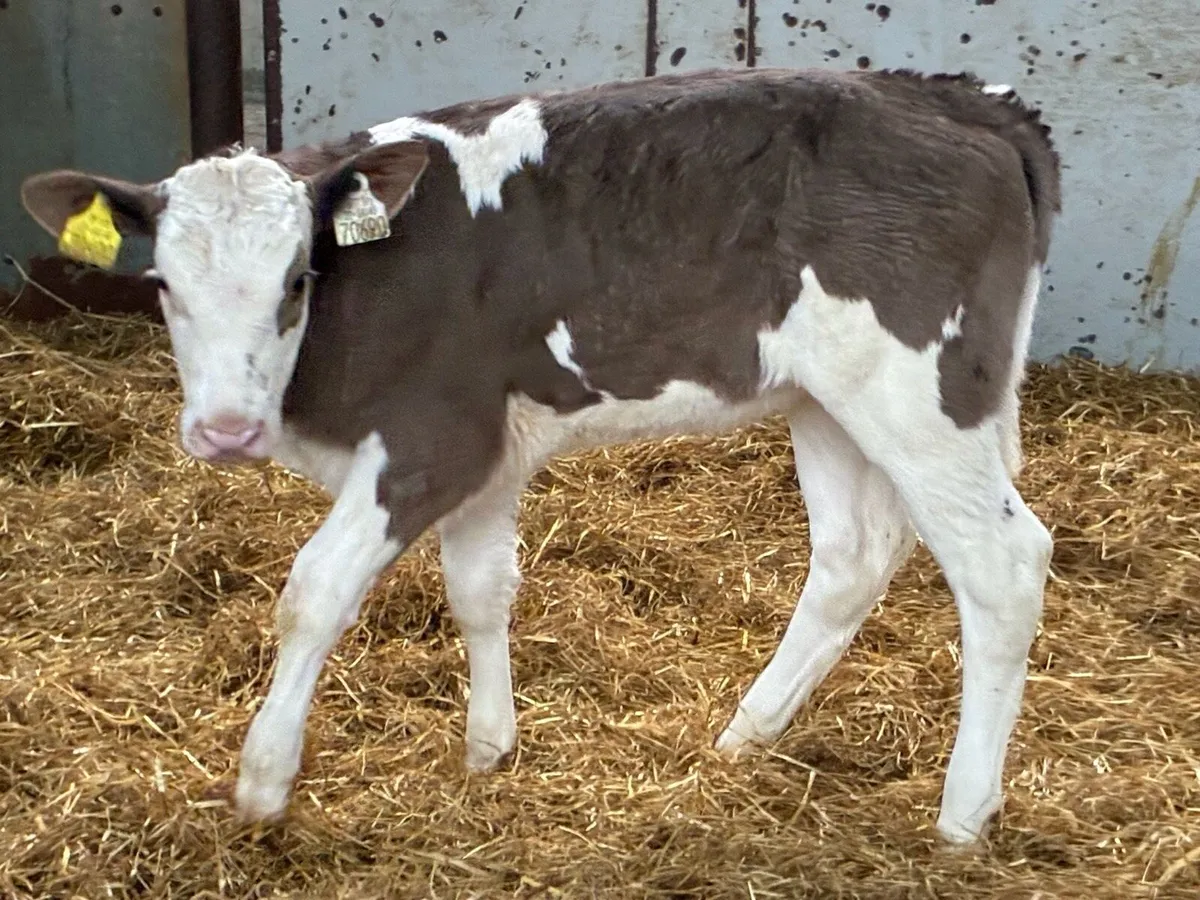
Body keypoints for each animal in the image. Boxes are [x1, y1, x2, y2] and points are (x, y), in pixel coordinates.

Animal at [20, 66, 1061, 845]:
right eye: (162, 283)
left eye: (298, 278)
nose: (227, 431)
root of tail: (962, 99)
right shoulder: (489, 450)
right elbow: (481, 591)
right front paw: (490, 750)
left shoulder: (434, 440)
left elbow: (313, 593)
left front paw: (264, 781)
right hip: (827, 399)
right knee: (852, 556)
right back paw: (745, 737)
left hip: (920, 394)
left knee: (1003, 564)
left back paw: (963, 816)